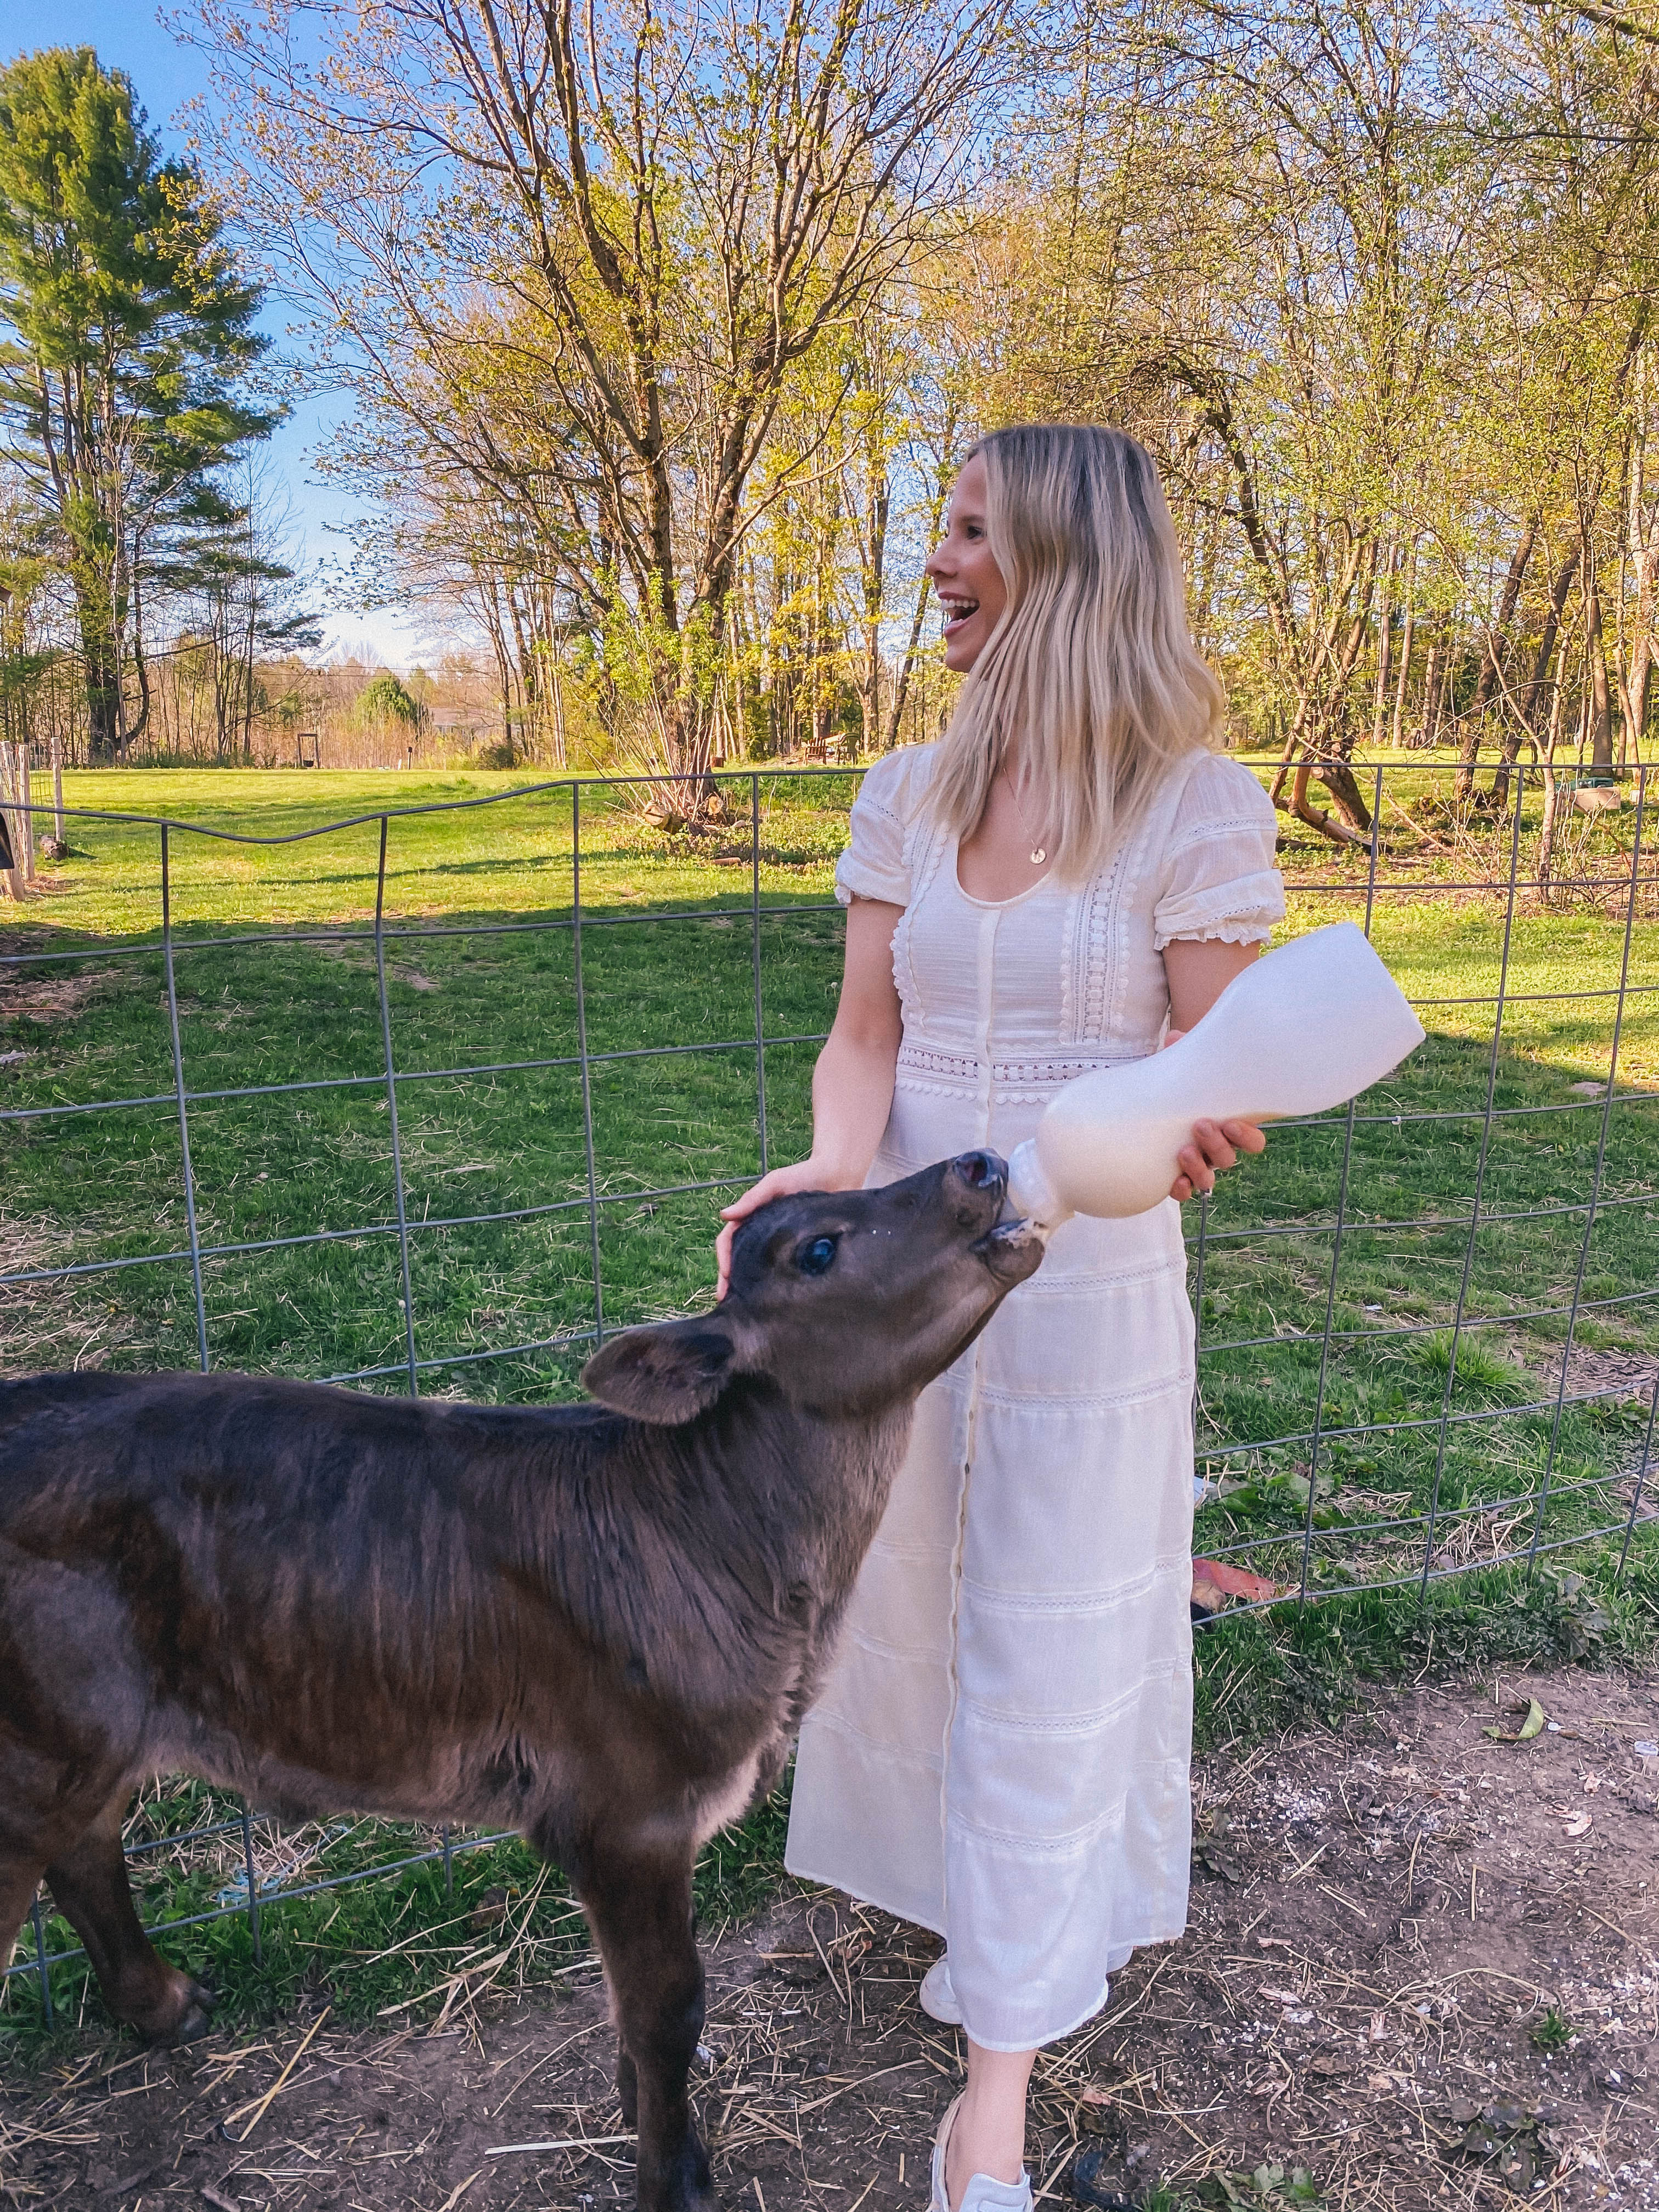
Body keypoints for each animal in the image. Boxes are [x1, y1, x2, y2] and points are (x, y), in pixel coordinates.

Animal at [0, 1159, 1040, 2212]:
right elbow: (669, 2006)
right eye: (818, 1250)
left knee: (88, 1847)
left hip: (79, 1732)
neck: (730, 1539)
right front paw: (674, 2177)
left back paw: (167, 2005)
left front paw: (641, 2114)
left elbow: (634, 2004)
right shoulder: (628, 1804)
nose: (981, 1165)